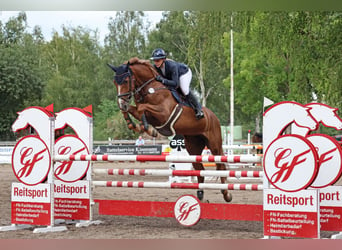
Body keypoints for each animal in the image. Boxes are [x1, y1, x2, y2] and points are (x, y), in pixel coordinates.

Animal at [108, 56, 231, 201]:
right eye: (115, 82)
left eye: (126, 81)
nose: (122, 103)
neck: (150, 88)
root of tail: (213, 116)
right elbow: (132, 110)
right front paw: (135, 125)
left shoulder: (163, 113)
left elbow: (142, 108)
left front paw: (148, 129)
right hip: (193, 146)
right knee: (199, 168)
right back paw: (200, 193)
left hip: (214, 144)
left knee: (221, 165)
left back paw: (226, 194)